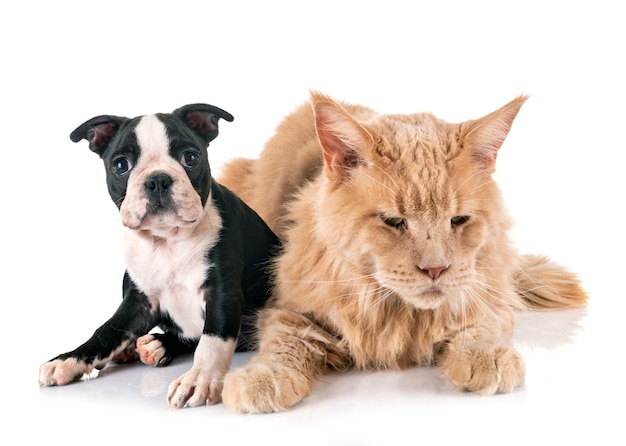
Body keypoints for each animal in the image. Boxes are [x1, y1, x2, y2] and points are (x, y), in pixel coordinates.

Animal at [40, 103, 280, 408]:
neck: (166, 242)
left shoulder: (222, 293)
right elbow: (106, 331)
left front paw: (199, 379)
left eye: (191, 158)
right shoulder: (139, 303)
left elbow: (212, 340)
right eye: (121, 165)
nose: (157, 180)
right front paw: (68, 360)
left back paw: (158, 346)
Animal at [217, 92, 588, 412]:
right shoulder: (286, 304)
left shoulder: (487, 293)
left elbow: (481, 323)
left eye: (458, 220)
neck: (395, 312)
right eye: (394, 221)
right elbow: (287, 339)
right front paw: (263, 377)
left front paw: (486, 356)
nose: (435, 269)